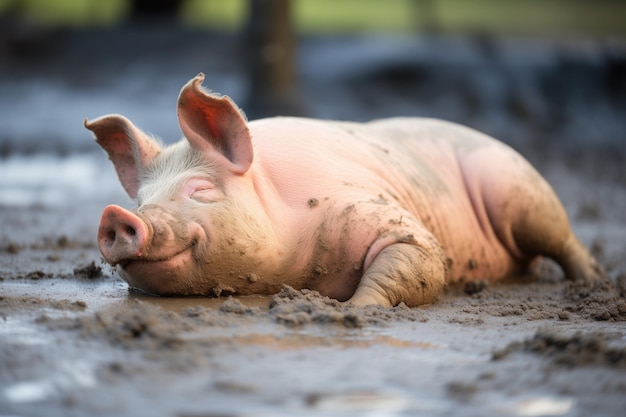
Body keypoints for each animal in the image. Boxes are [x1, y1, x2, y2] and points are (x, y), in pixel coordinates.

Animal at [85, 72, 604, 306]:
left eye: (200, 190)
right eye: (141, 200)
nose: (116, 215)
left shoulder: (386, 215)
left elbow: (421, 258)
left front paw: (351, 309)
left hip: (520, 189)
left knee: (564, 240)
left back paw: (595, 283)